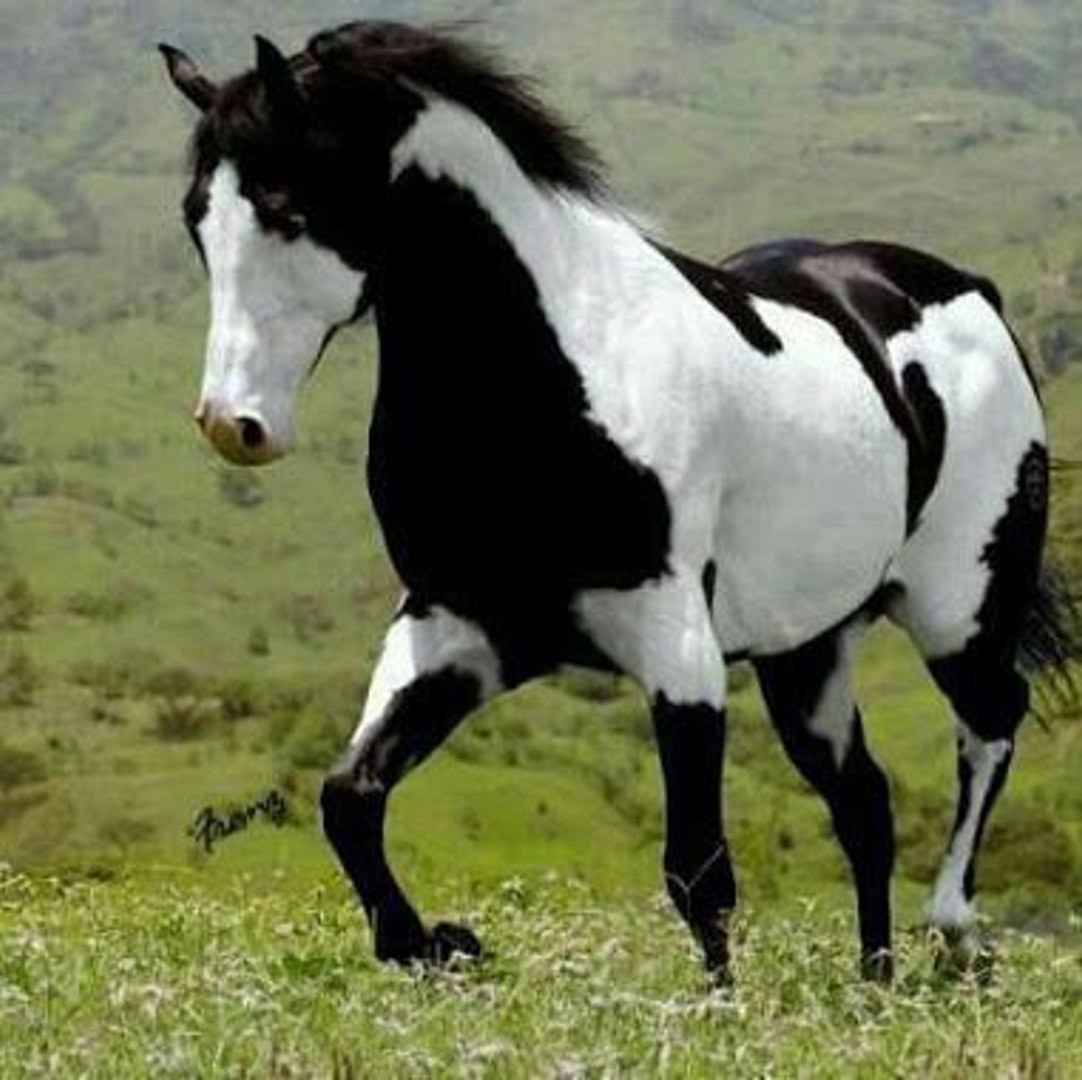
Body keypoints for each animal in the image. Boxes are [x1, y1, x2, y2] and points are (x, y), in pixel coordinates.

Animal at [160, 21, 1078, 984]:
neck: (556, 375)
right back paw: (874, 983)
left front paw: (718, 1008)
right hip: (810, 650)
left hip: (958, 611)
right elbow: (349, 797)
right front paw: (437, 944)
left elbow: (698, 872)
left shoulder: (677, 647)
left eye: (288, 208)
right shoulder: (457, 629)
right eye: (197, 218)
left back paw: (956, 929)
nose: (234, 425)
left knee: (992, 723)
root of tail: (968, 289)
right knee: (864, 801)